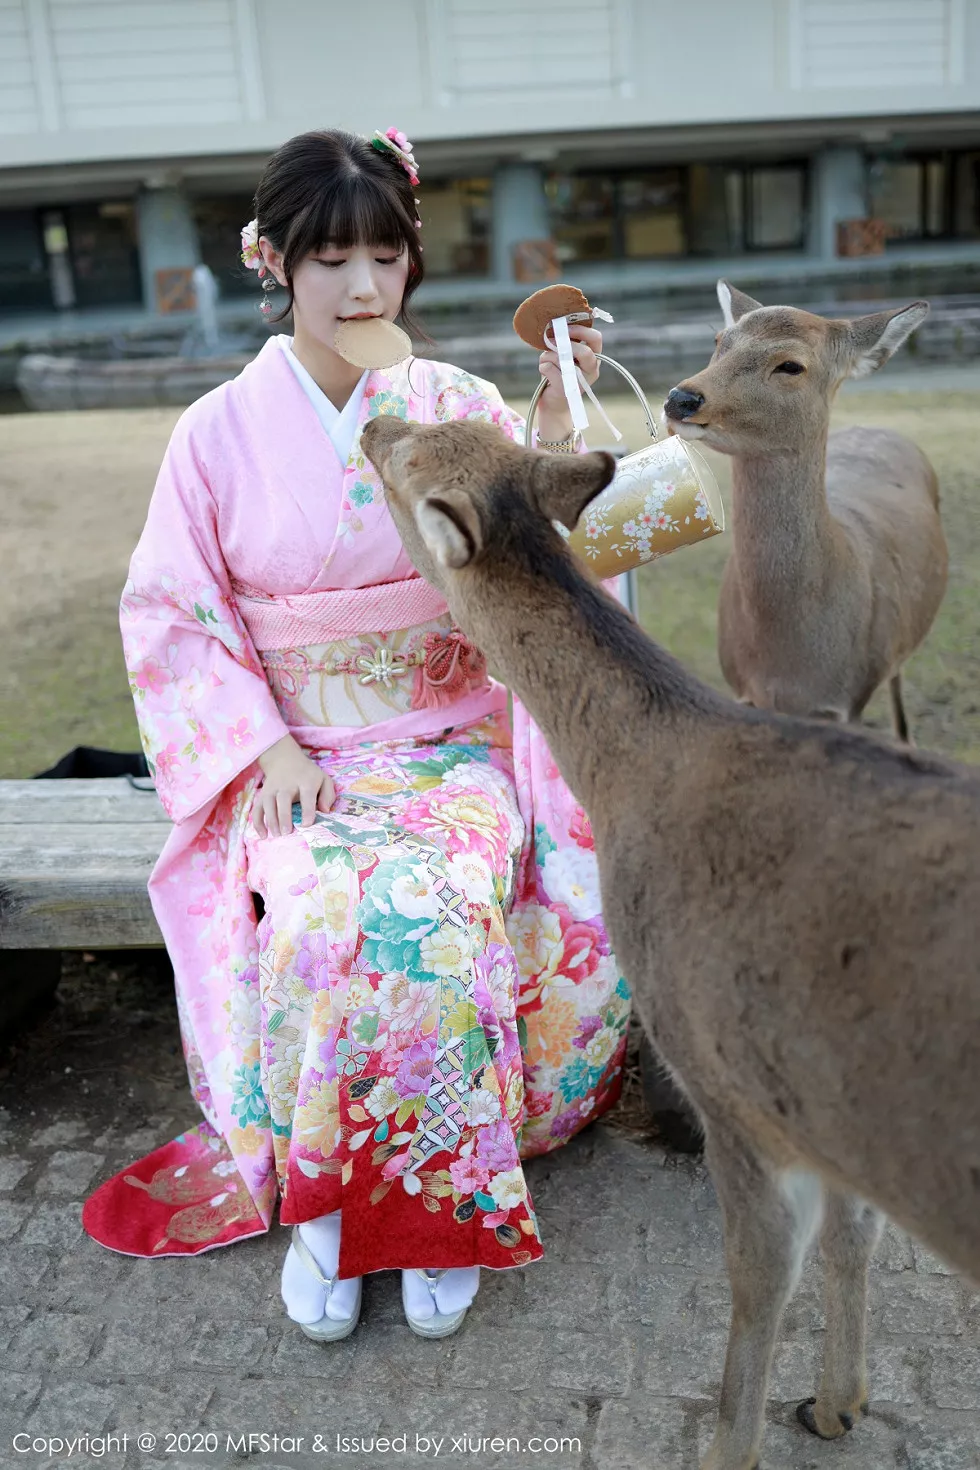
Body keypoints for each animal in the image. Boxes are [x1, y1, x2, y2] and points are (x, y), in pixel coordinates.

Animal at [359, 411, 980, 1470]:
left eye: (408, 463)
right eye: (453, 429)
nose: (370, 420)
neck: (636, 775)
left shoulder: (731, 1083)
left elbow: (756, 1286)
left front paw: (739, 1441)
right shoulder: (825, 1100)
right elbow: (857, 1236)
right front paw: (838, 1404)